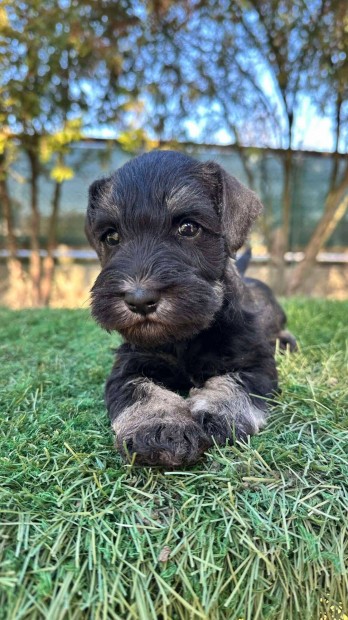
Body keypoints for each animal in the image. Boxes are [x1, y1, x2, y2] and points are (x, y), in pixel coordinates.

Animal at [84, 153, 294, 468]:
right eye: (111, 236)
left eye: (189, 228)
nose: (139, 300)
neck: (186, 336)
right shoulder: (129, 365)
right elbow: (142, 390)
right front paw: (161, 428)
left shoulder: (255, 364)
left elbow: (234, 384)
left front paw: (215, 415)